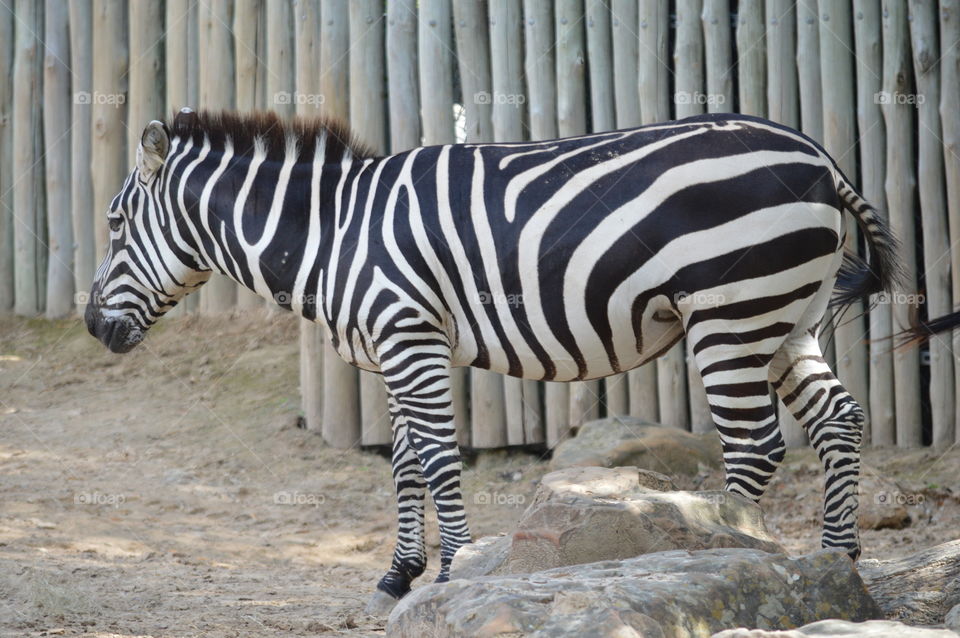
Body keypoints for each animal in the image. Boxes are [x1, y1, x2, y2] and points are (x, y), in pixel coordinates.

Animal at [84, 107, 937, 613]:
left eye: (116, 222)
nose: (92, 325)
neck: (334, 232)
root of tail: (820, 156)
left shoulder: (408, 335)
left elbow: (436, 459)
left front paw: (453, 572)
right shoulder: (401, 342)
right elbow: (402, 462)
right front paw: (399, 576)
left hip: (731, 312)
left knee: (754, 444)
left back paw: (722, 559)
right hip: (786, 315)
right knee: (837, 420)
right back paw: (835, 563)